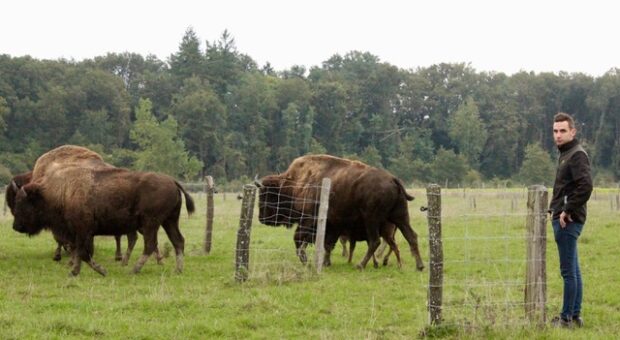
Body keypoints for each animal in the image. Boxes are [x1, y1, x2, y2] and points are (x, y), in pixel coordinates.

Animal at [12, 167, 194, 276]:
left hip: (151, 223)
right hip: (169, 221)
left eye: (23, 203)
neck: (62, 191)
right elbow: (81, 252)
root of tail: (172, 181)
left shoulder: (82, 230)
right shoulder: (79, 233)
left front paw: (99, 271)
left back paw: (134, 269)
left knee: (150, 244)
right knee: (178, 241)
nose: (16, 226)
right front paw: (76, 271)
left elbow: (84, 253)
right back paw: (178, 270)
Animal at [254, 155, 424, 270]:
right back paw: (419, 266)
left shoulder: (309, 220)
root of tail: (393, 179)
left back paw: (360, 265)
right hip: (400, 216)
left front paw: (307, 262)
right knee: (411, 236)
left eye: (266, 194)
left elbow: (299, 239)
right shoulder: (332, 225)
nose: (262, 219)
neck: (296, 183)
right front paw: (325, 262)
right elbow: (327, 244)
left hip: (372, 219)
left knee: (375, 241)